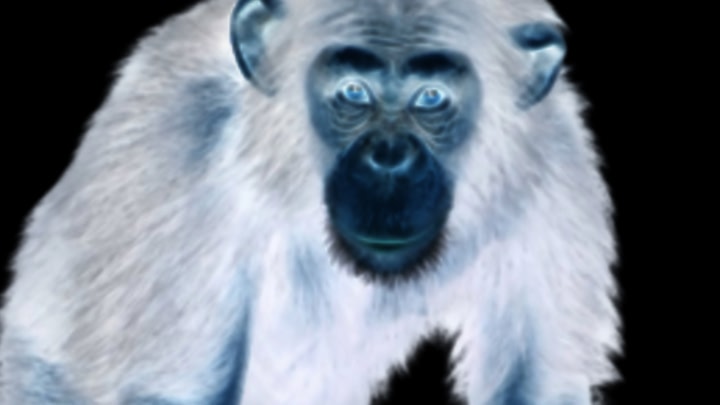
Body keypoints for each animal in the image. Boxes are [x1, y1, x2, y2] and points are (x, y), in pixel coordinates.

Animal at [0, 0, 621, 404]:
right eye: (353, 92)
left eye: (430, 97)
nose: (388, 157)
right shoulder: (179, 161)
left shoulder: (559, 176)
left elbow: (534, 385)